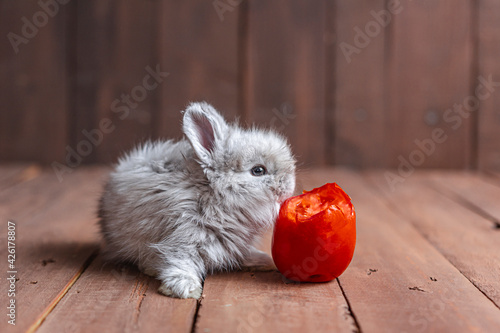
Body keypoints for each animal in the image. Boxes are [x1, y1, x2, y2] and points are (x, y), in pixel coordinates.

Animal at [98, 102, 296, 298]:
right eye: (258, 170)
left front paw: (263, 260)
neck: (212, 196)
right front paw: (186, 289)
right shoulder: (182, 238)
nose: (289, 185)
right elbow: (179, 264)